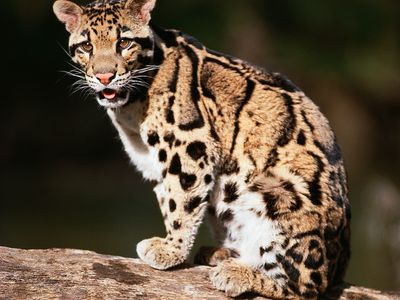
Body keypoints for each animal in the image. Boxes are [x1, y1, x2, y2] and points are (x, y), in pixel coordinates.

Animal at [53, 0, 350, 298]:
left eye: (124, 42)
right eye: (86, 46)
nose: (104, 77)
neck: (130, 108)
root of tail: (341, 265)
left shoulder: (190, 144)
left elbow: (181, 202)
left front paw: (170, 251)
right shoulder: (151, 161)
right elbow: (168, 198)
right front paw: (174, 248)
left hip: (278, 194)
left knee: (308, 286)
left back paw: (238, 273)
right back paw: (223, 254)